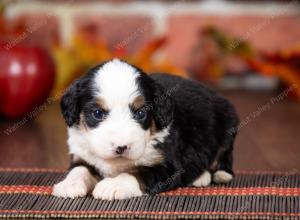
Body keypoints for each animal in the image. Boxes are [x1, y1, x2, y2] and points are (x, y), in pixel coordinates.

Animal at [52, 58, 239, 199]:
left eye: (141, 113)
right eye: (97, 113)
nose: (121, 147)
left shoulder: (168, 166)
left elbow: (138, 173)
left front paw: (113, 185)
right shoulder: (81, 154)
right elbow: (79, 169)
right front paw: (69, 184)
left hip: (228, 125)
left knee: (225, 154)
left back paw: (218, 174)